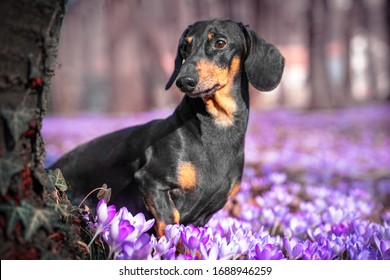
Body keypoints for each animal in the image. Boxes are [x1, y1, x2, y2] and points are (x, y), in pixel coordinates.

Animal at [51, 18, 284, 236]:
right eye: (185, 47)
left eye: (220, 43)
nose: (184, 81)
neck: (216, 131)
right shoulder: (151, 182)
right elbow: (171, 220)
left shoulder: (206, 214)